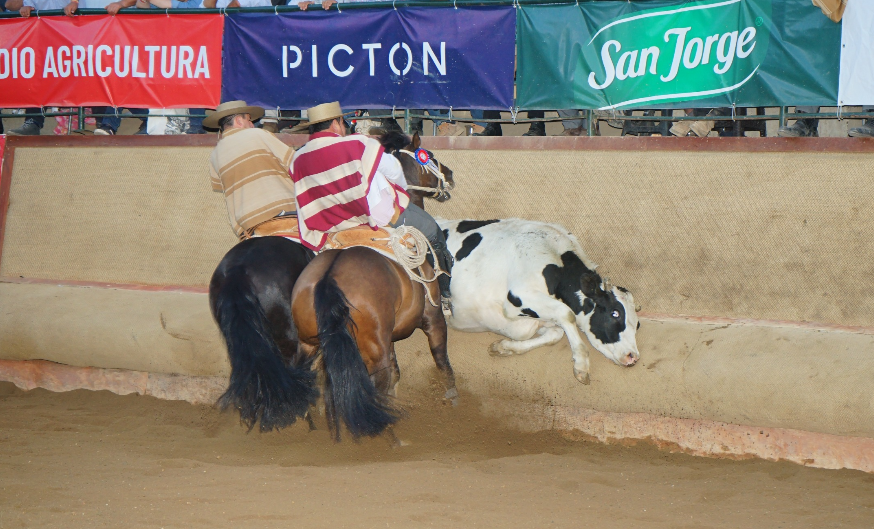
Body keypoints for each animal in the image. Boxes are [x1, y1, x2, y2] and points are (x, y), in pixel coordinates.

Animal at [209, 131, 456, 435]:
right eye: (428, 156)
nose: (450, 174)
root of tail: (238, 270)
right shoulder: (431, 317)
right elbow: (440, 362)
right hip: (295, 337)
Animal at [437, 218, 640, 384]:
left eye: (637, 325)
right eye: (615, 313)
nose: (633, 356)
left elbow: (555, 334)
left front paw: (504, 347)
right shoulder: (519, 294)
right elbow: (566, 314)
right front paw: (581, 364)